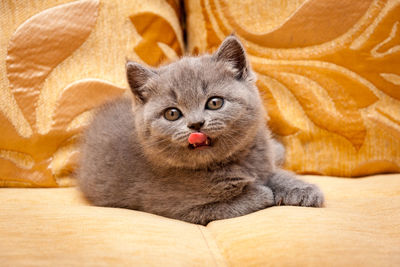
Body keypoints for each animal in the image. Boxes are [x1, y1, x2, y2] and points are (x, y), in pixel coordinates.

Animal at [76, 35, 324, 226]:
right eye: (172, 114)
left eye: (214, 102)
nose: (196, 125)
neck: (231, 162)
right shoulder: (180, 209)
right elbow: (235, 203)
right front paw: (261, 192)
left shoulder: (263, 165)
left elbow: (277, 174)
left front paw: (303, 190)